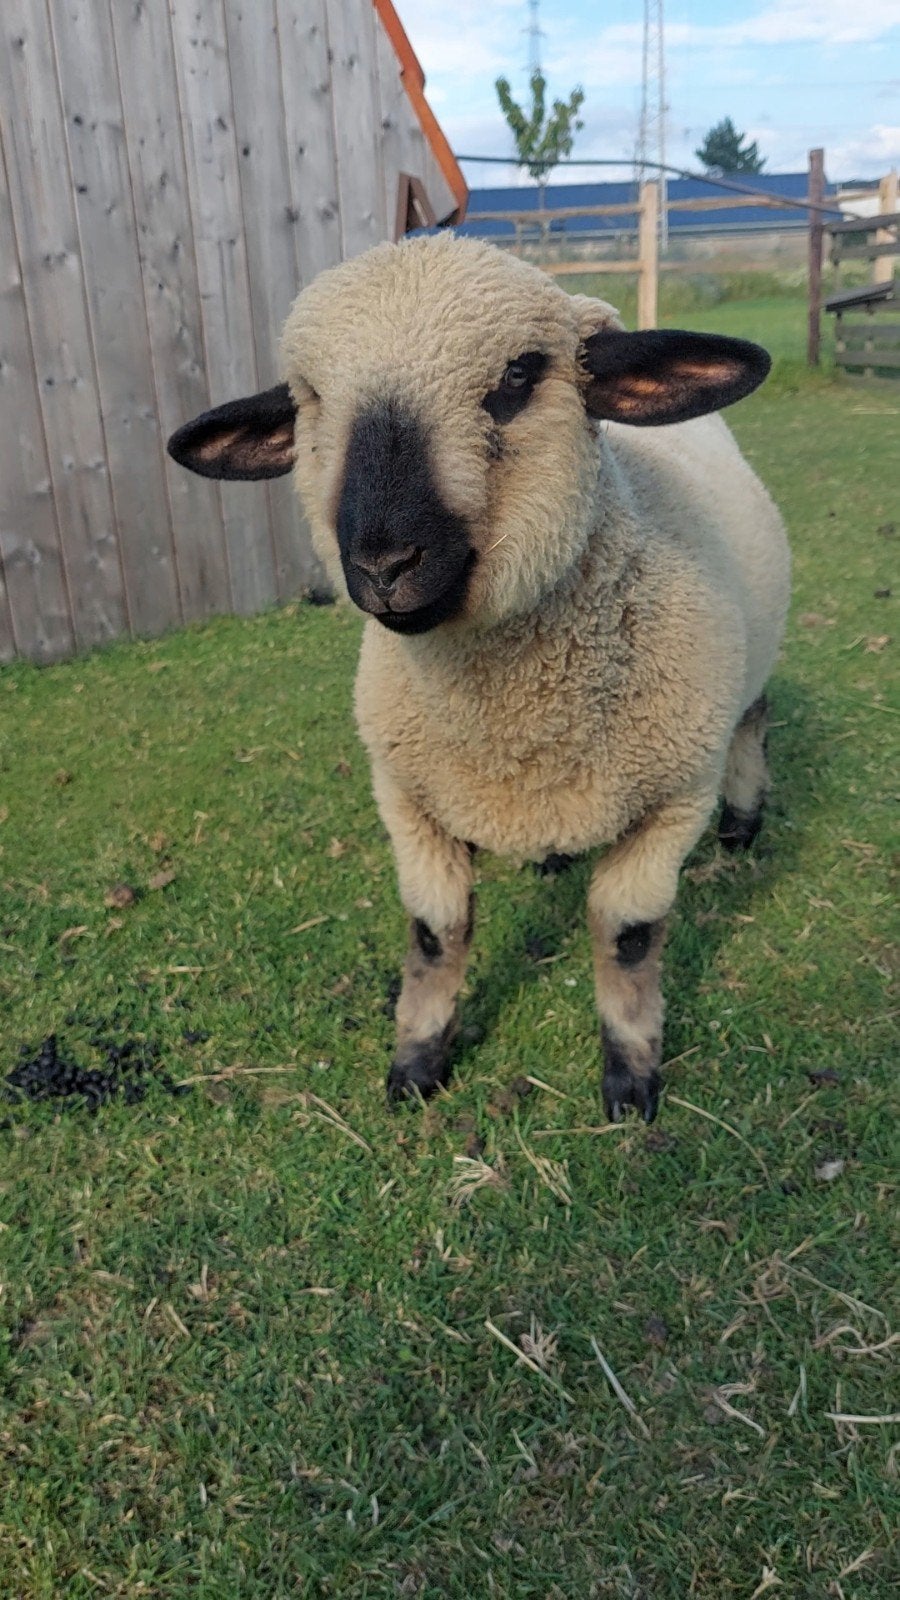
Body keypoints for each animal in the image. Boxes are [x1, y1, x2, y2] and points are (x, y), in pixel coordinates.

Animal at [167, 234, 790, 1123]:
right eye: (310, 401)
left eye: (520, 375)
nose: (383, 564)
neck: (513, 722)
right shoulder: (408, 799)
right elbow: (436, 933)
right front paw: (417, 1063)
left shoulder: (671, 803)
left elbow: (627, 936)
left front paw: (631, 1080)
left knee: (755, 718)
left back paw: (743, 824)